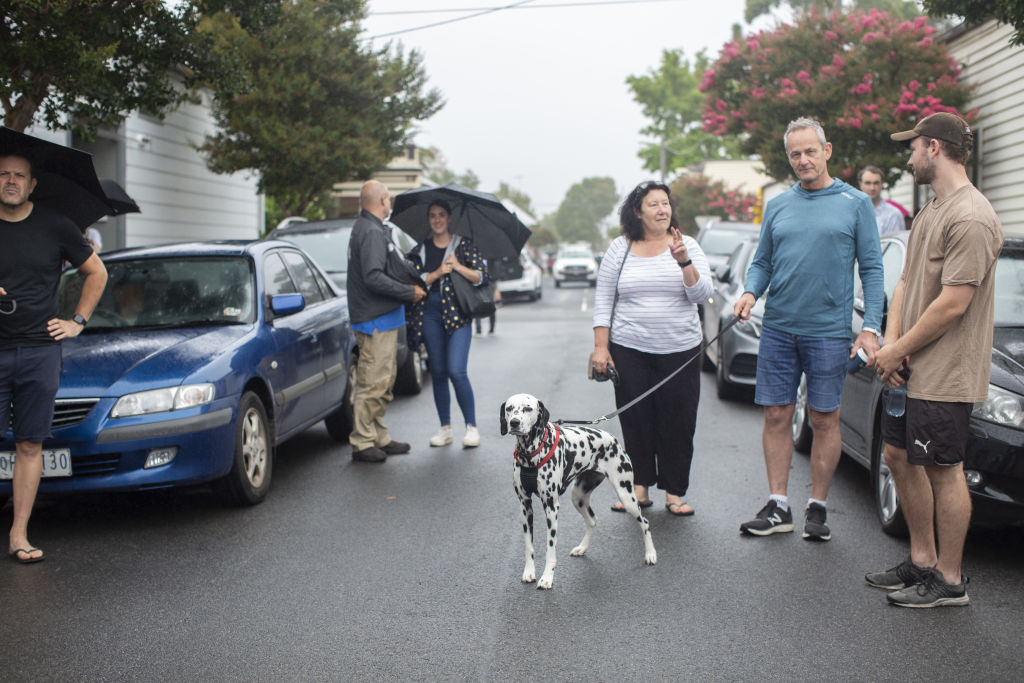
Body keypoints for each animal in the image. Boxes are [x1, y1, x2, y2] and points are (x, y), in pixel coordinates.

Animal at [501, 393, 659, 589]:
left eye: (528, 408)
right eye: (509, 408)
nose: (514, 422)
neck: (530, 454)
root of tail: (612, 439)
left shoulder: (551, 508)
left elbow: (550, 549)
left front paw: (547, 578)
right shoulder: (525, 506)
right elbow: (529, 546)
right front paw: (529, 572)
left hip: (626, 496)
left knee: (645, 522)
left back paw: (651, 554)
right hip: (578, 497)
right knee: (592, 520)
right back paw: (582, 548)